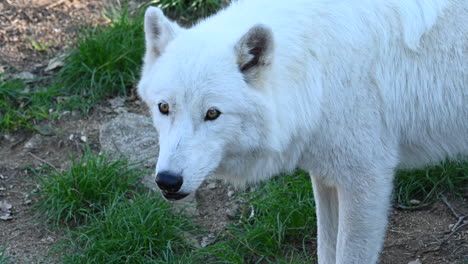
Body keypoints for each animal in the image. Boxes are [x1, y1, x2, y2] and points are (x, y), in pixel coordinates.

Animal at [138, 0, 468, 262]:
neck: (316, 67)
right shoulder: (326, 176)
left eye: (212, 114)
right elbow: (326, 250)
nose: (167, 181)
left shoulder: (366, 180)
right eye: (164, 108)